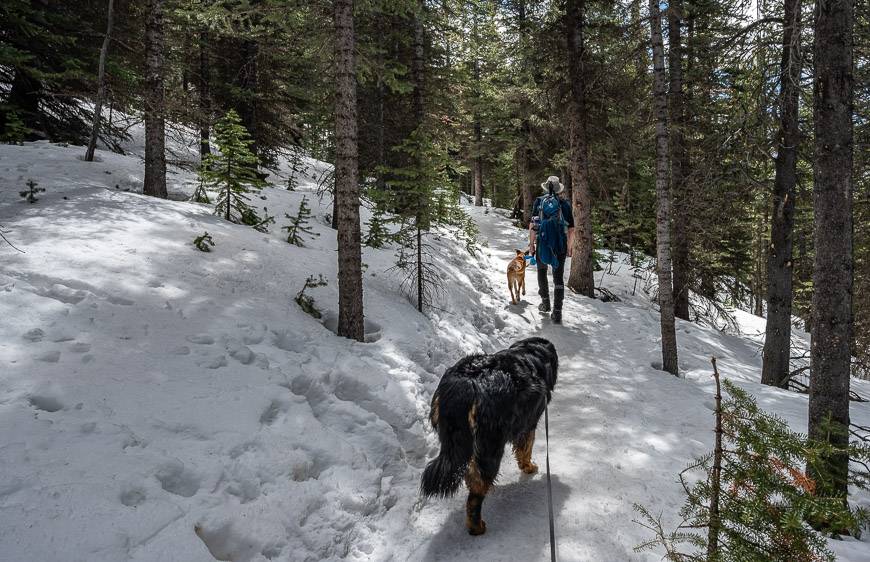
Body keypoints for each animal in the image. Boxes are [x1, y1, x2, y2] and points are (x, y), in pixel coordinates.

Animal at [420, 336, 560, 532]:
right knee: (476, 490)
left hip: (455, 438)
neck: (532, 353)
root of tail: (467, 382)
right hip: (491, 446)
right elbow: (526, 448)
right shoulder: (529, 423)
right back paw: (476, 526)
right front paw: (528, 466)